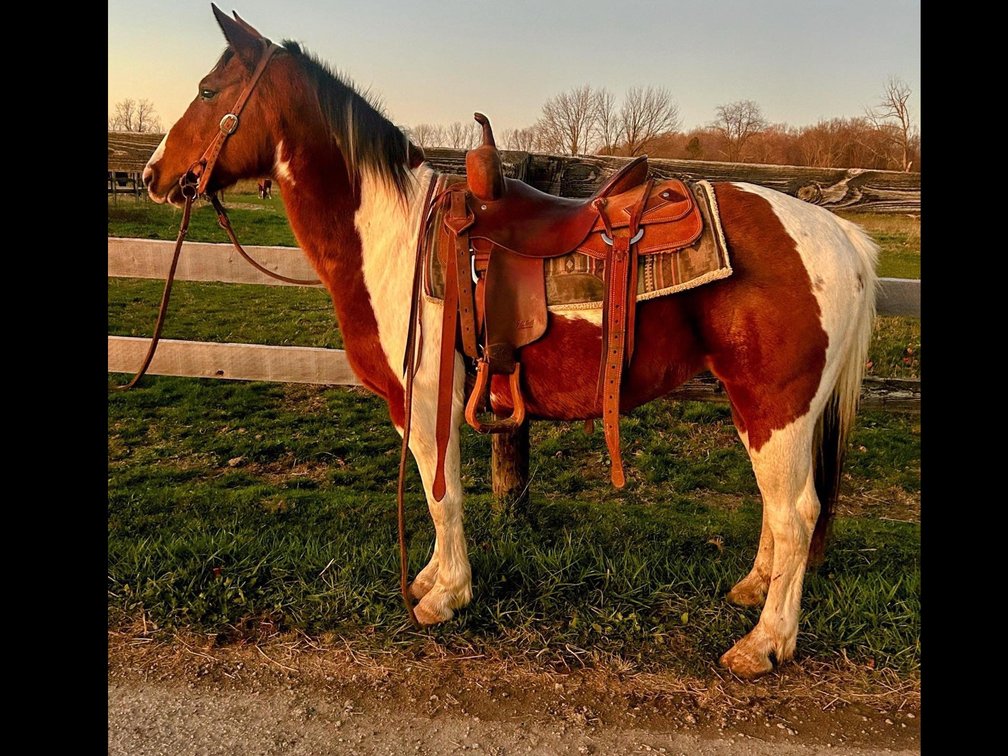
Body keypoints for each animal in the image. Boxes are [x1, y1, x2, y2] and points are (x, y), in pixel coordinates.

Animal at [142, 6, 878, 679]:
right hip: (759, 409)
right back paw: (753, 590)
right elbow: (435, 489)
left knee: (797, 515)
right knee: (778, 510)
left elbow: (442, 494)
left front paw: (446, 595)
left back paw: (765, 643)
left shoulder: (429, 396)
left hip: (777, 407)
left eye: (207, 90)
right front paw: (432, 578)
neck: (391, 237)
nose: (152, 174)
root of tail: (841, 237)